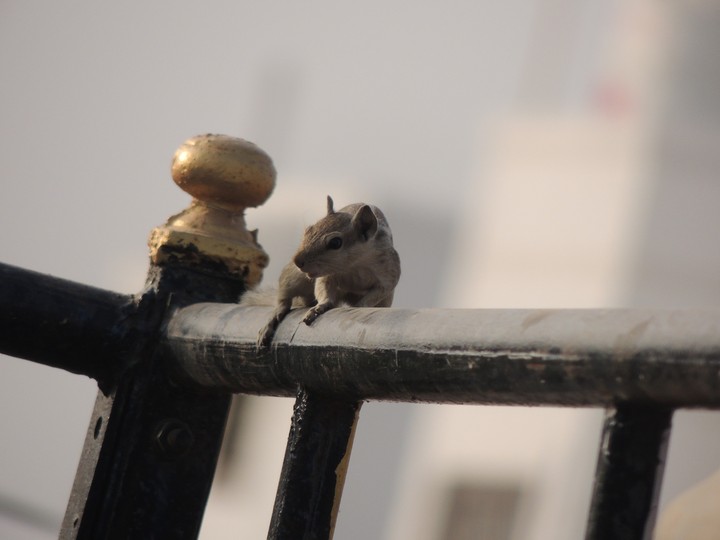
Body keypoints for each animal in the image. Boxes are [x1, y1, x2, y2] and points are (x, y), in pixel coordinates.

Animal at [245, 195, 401, 348]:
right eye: (308, 230)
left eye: (335, 242)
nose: (297, 260)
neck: (353, 265)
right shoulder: (326, 277)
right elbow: (323, 290)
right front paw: (320, 306)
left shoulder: (388, 275)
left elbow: (376, 293)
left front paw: (360, 306)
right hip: (292, 278)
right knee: (283, 299)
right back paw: (271, 322)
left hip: (386, 301)